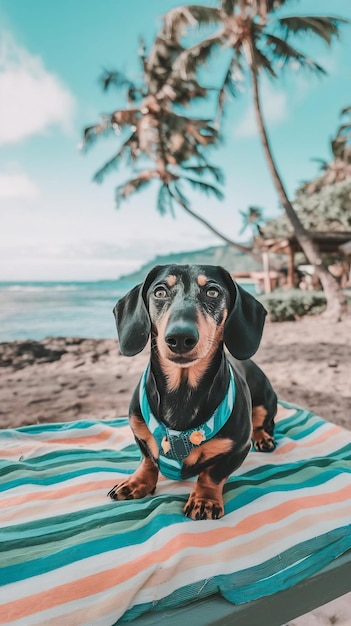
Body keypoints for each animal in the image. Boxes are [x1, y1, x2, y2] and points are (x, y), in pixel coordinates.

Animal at [108, 264, 278, 516]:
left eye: (212, 292)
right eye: (159, 292)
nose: (180, 337)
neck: (182, 390)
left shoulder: (238, 448)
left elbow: (212, 474)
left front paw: (204, 499)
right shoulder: (138, 430)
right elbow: (147, 459)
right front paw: (137, 482)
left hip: (265, 402)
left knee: (263, 424)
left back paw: (263, 438)